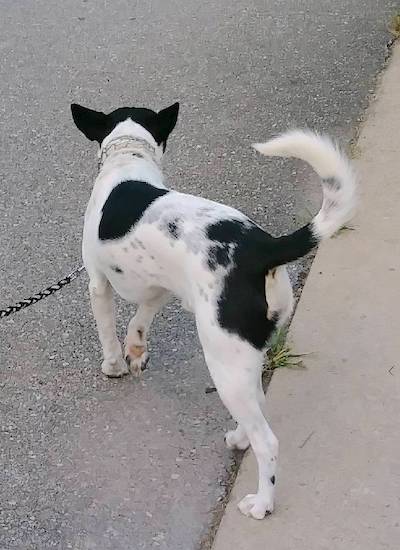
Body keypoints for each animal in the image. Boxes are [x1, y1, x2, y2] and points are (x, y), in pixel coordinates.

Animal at [70, 101, 354, 520]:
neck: (128, 159)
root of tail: (263, 248)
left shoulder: (97, 283)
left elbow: (107, 330)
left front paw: (114, 365)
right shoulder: (164, 287)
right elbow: (141, 318)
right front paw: (136, 350)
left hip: (223, 358)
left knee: (267, 441)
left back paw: (262, 503)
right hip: (245, 353)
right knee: (257, 403)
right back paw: (239, 436)